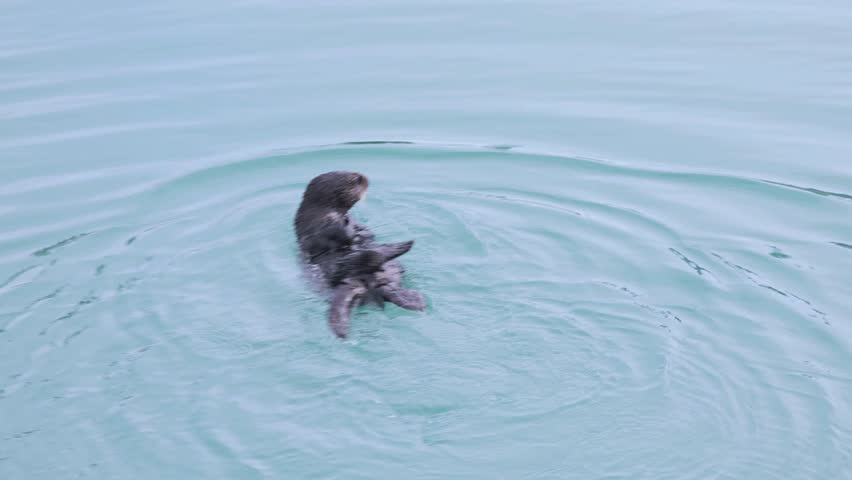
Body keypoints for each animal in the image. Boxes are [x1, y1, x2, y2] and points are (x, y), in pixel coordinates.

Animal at [294, 171, 425, 338]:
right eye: (355, 179)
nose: (366, 178)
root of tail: (370, 285)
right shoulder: (321, 226)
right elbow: (337, 235)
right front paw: (350, 232)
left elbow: (361, 231)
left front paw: (358, 231)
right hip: (337, 272)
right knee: (361, 261)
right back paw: (401, 247)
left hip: (389, 271)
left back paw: (414, 299)